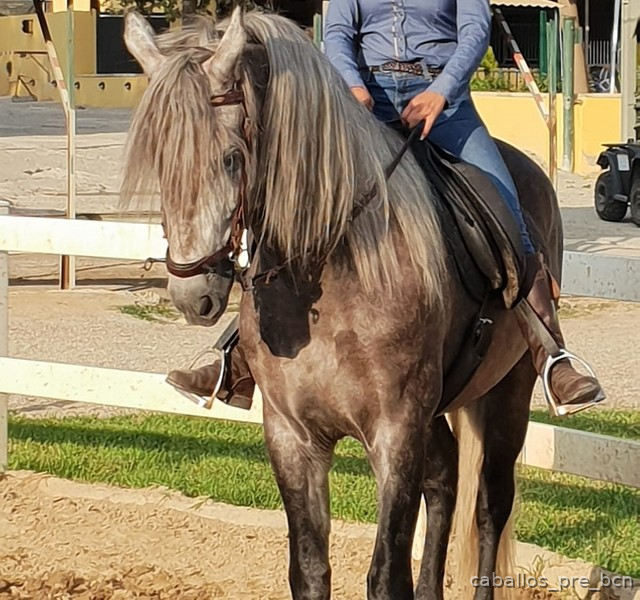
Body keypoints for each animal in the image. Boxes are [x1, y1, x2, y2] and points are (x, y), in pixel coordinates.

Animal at [120, 8, 562, 600]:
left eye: (233, 159)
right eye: (158, 160)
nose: (194, 295)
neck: (328, 278)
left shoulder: (396, 433)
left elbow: (386, 574)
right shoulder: (292, 436)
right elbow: (309, 569)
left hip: (510, 389)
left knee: (491, 504)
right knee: (446, 479)